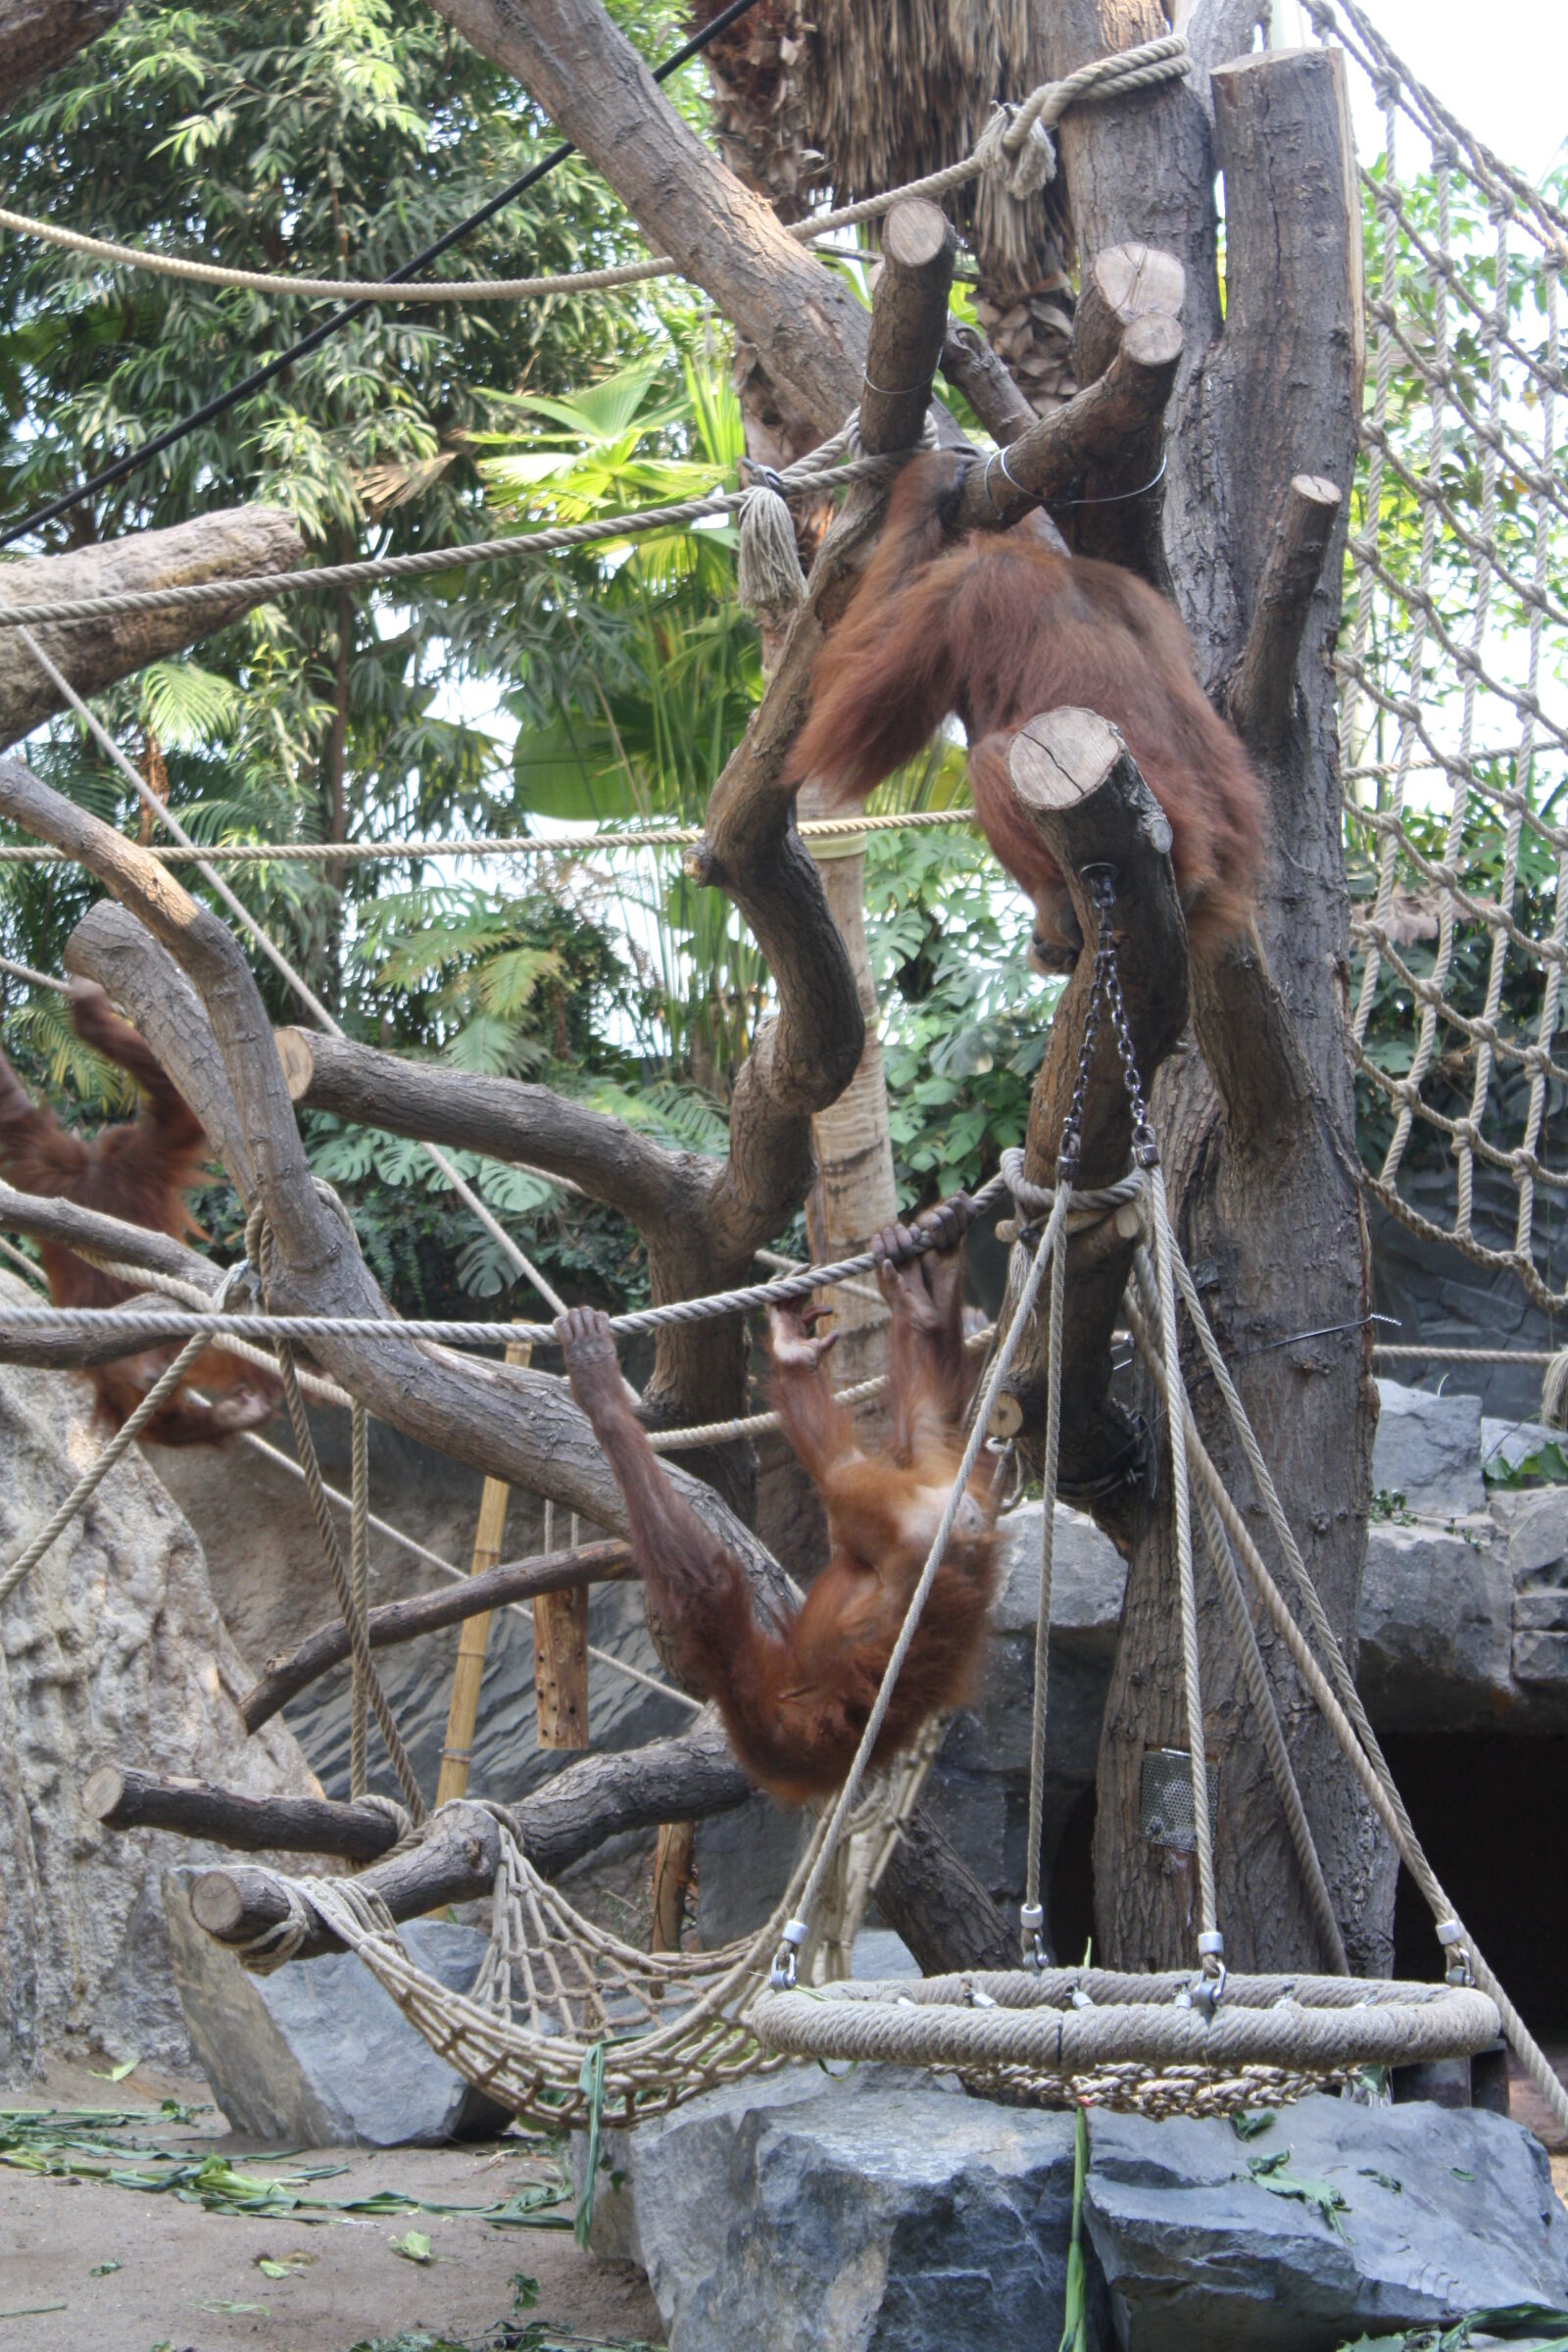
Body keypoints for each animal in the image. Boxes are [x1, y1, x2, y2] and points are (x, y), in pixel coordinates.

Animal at [558, 1202, 999, 1804]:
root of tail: (964, 1517)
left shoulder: (765, 1725)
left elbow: (709, 1587)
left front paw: (599, 1396)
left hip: (901, 1519)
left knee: (838, 1476)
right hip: (931, 1481)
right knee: (921, 1427)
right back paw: (912, 1304)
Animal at [790, 449, 1266, 966]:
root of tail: (1214, 877)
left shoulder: (958, 586)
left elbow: (847, 709)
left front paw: (926, 485)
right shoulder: (1141, 593)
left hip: (1167, 831)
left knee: (990, 757)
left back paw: (1057, 912)